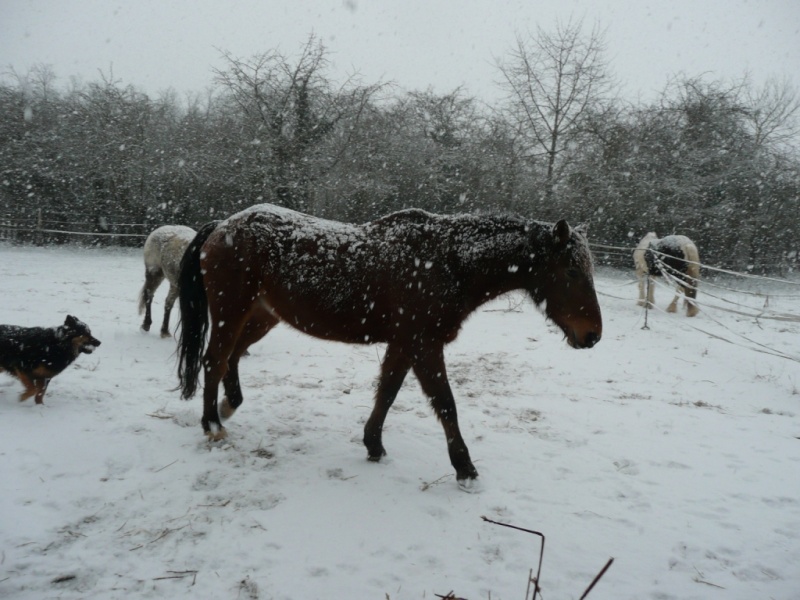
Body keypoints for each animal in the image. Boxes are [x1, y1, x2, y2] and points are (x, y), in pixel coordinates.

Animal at [177, 204, 600, 486]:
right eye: (571, 271)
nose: (592, 335)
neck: (447, 261)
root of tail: (222, 226)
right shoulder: (424, 345)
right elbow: (445, 404)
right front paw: (464, 468)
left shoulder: (404, 344)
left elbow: (388, 392)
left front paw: (373, 445)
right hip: (232, 312)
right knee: (214, 360)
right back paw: (212, 424)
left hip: (261, 316)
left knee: (230, 357)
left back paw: (229, 405)